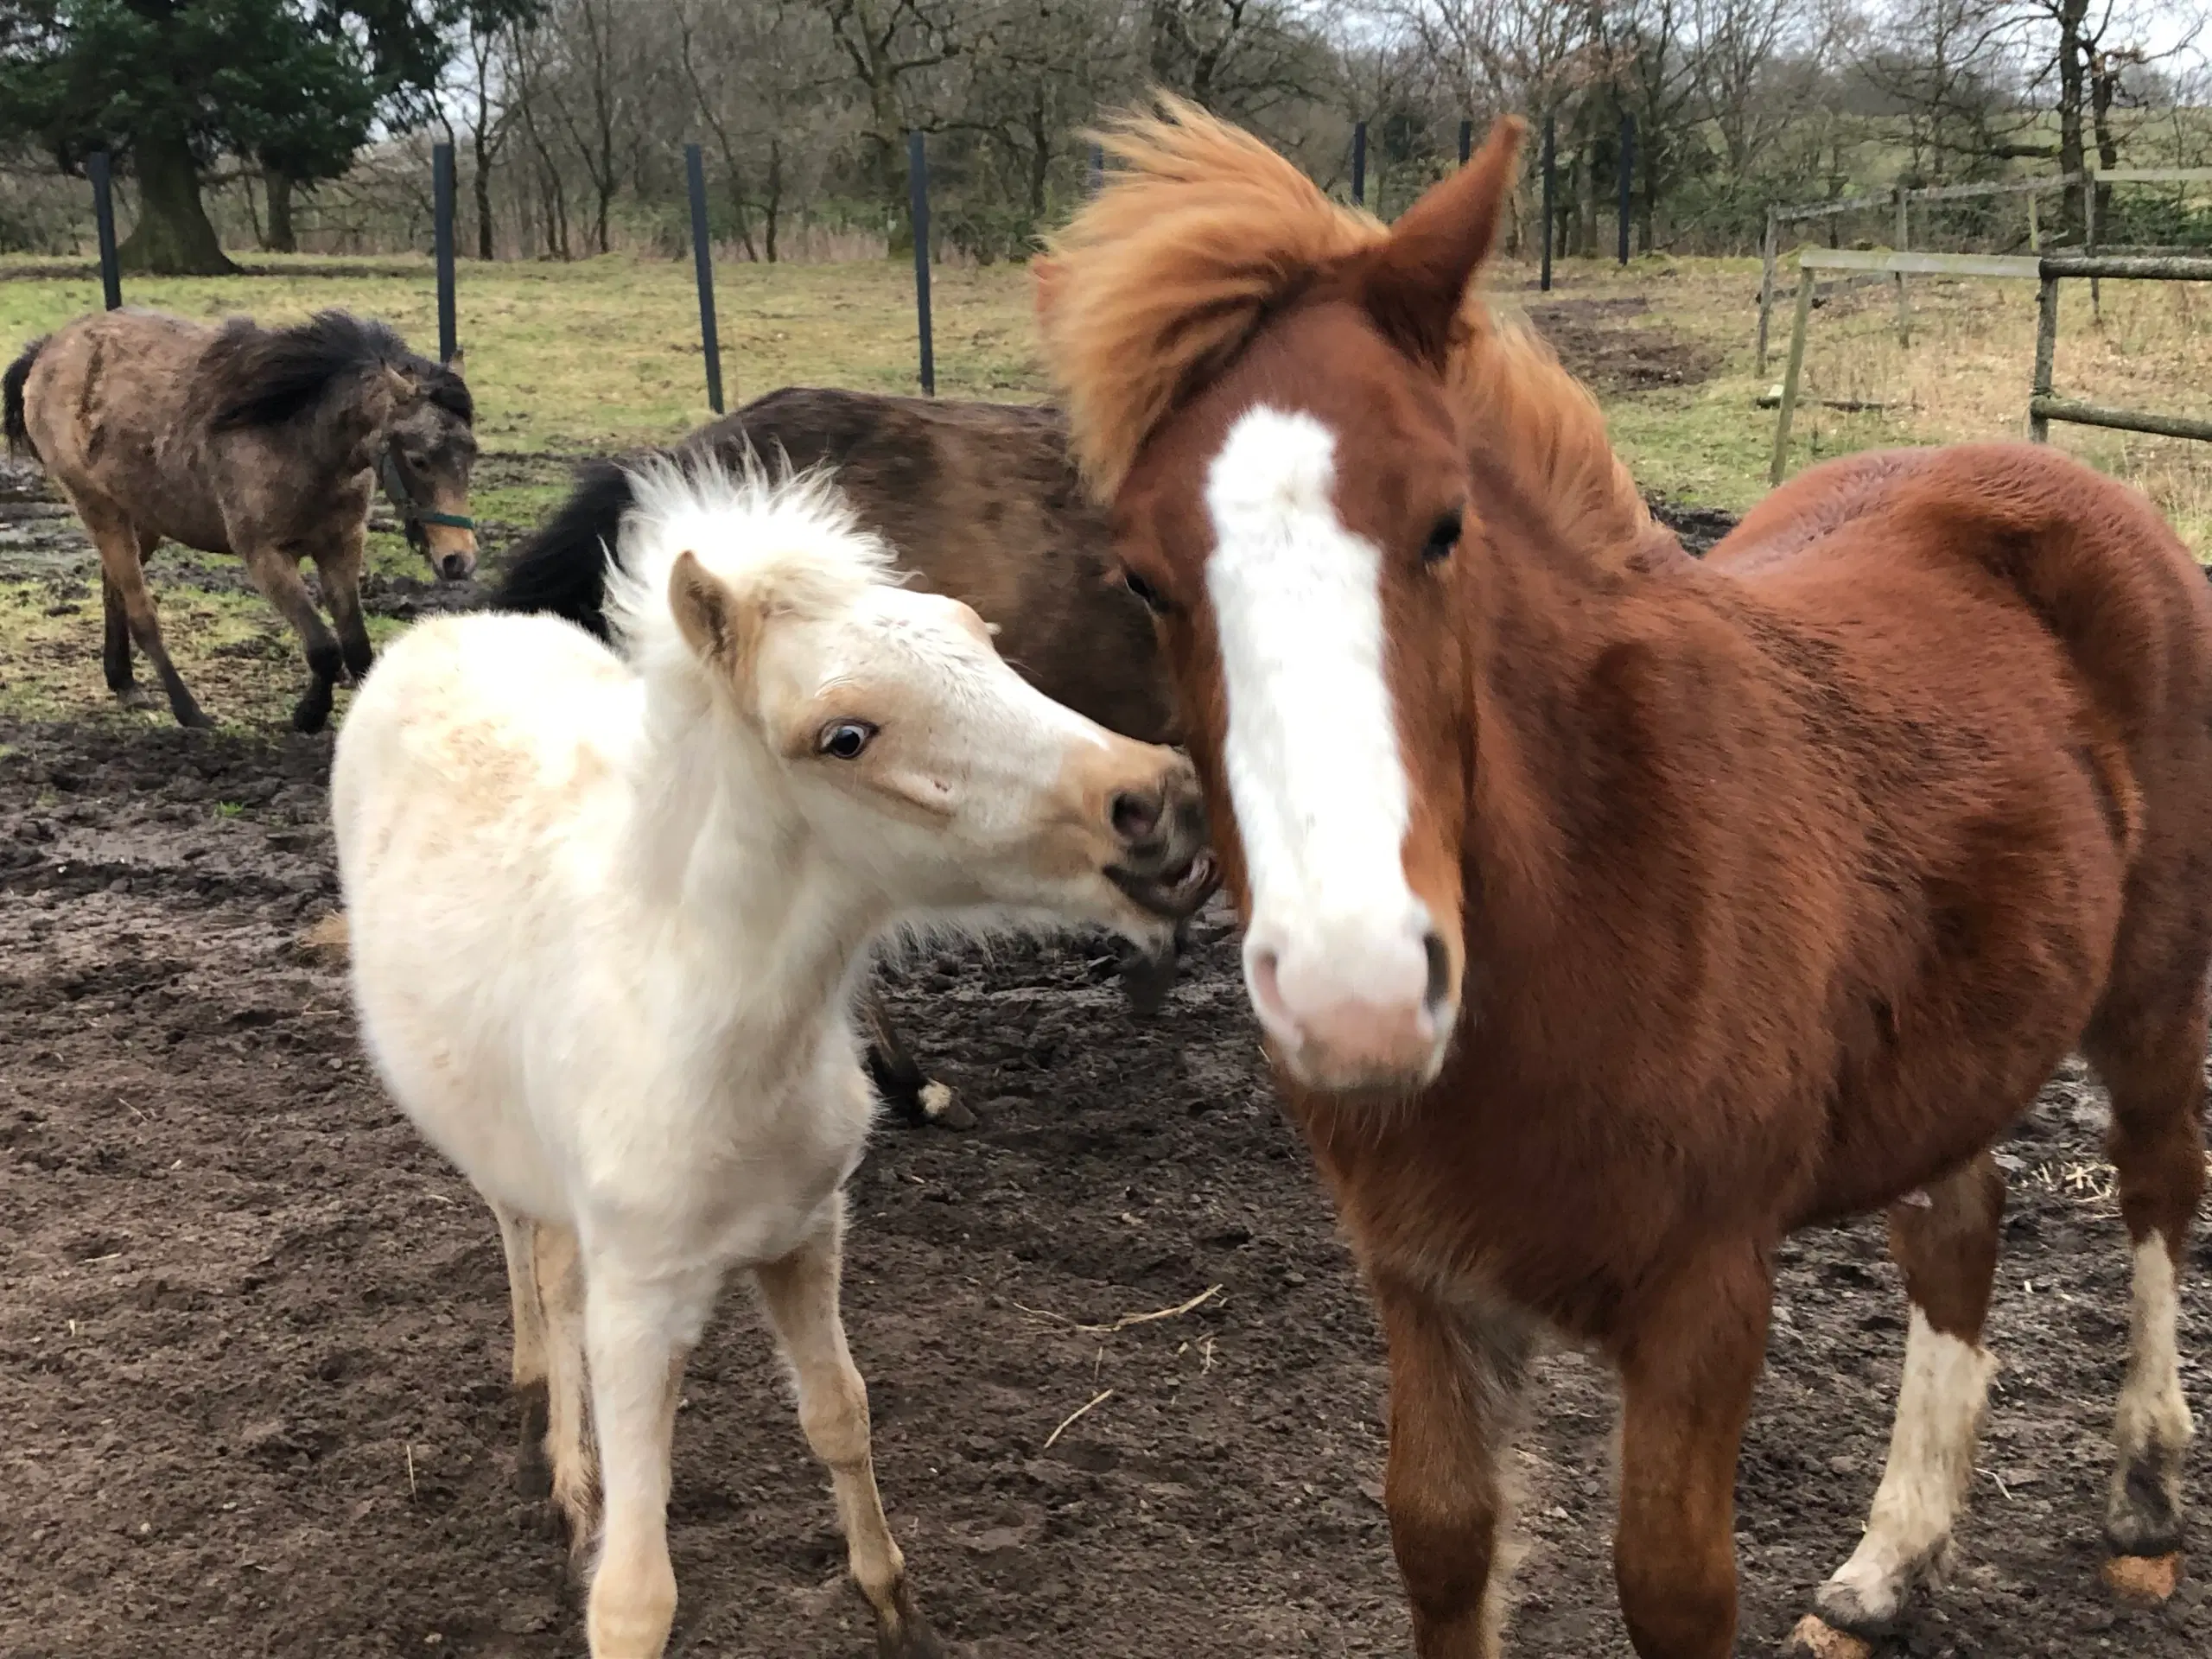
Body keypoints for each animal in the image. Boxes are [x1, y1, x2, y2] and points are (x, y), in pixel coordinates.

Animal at [9, 307, 477, 734]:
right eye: (418, 459)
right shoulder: (264, 555)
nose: (460, 560)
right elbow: (324, 648)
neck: (297, 438)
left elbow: (356, 646)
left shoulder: (341, 544)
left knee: (113, 589)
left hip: (143, 516)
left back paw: (124, 681)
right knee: (142, 613)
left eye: (472, 453)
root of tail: (46, 351)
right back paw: (189, 712)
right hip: (99, 509)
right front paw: (309, 716)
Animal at [332, 464, 1211, 1659]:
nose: (1155, 797)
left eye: (977, 635)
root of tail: (442, 629)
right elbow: (636, 1592)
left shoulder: (807, 1231)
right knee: (527, 1252)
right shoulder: (641, 1300)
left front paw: (895, 1610)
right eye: (845, 736)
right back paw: (555, 1456)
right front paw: (592, 1511)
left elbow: (839, 1414)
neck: (717, 1033)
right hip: (493, 1139)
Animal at [1039, 100, 2212, 1659]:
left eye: (1444, 526)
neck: (1601, 891)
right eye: (1144, 579)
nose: (1357, 992)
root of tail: (2082, 491)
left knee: (2156, 1188)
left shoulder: (1704, 1298)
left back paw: (2144, 1498)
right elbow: (1442, 1545)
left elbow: (1671, 1585)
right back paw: (1890, 1565)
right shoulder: (1426, 1286)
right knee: (1961, 1233)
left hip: (2152, 995)